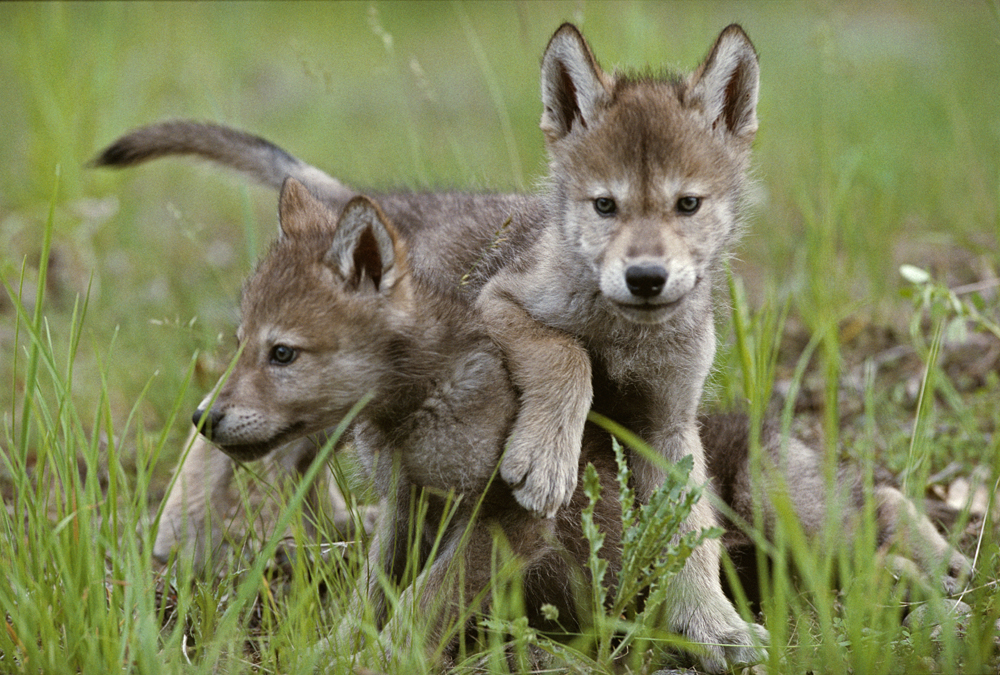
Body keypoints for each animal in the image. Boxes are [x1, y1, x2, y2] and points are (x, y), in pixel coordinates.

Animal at [94, 24, 971, 671]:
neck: (630, 334)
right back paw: (183, 530)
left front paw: (714, 626)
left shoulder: (663, 425)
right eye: (603, 205)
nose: (646, 276)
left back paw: (945, 572)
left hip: (773, 489)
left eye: (688, 204)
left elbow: (684, 538)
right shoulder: (505, 324)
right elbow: (561, 363)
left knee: (875, 503)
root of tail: (380, 202)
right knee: (251, 450)